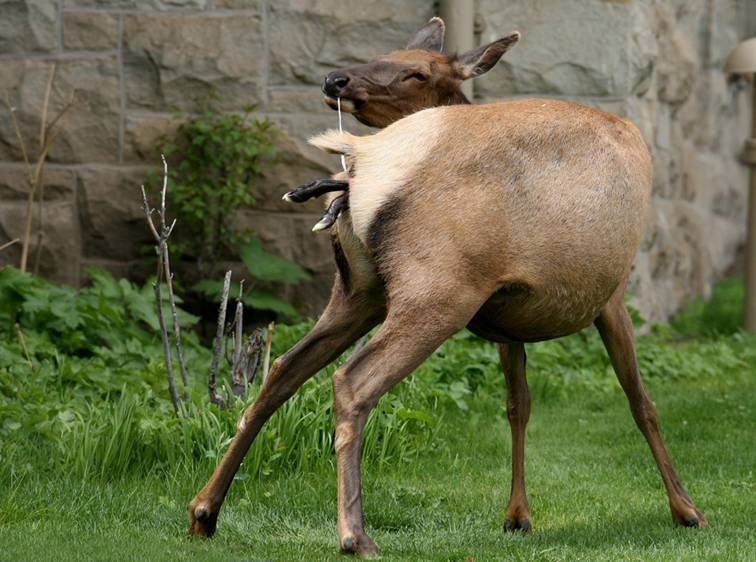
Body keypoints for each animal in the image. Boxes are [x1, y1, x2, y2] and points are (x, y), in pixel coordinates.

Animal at [186, 18, 704, 556]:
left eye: (413, 68)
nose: (334, 80)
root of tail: (360, 161)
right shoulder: (613, 295)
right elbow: (641, 402)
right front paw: (686, 511)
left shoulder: (508, 314)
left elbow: (518, 405)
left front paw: (517, 516)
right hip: (438, 290)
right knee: (352, 381)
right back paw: (354, 535)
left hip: (358, 292)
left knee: (281, 369)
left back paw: (204, 511)